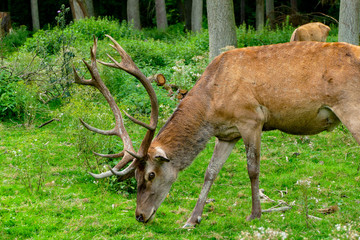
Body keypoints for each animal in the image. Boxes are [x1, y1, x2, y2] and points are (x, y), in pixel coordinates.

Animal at [74, 36, 360, 229]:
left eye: (151, 174)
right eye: (134, 176)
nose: (140, 216)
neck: (211, 103)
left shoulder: (251, 119)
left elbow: (252, 169)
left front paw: (254, 214)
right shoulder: (226, 133)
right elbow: (210, 172)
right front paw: (192, 219)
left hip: (351, 107)